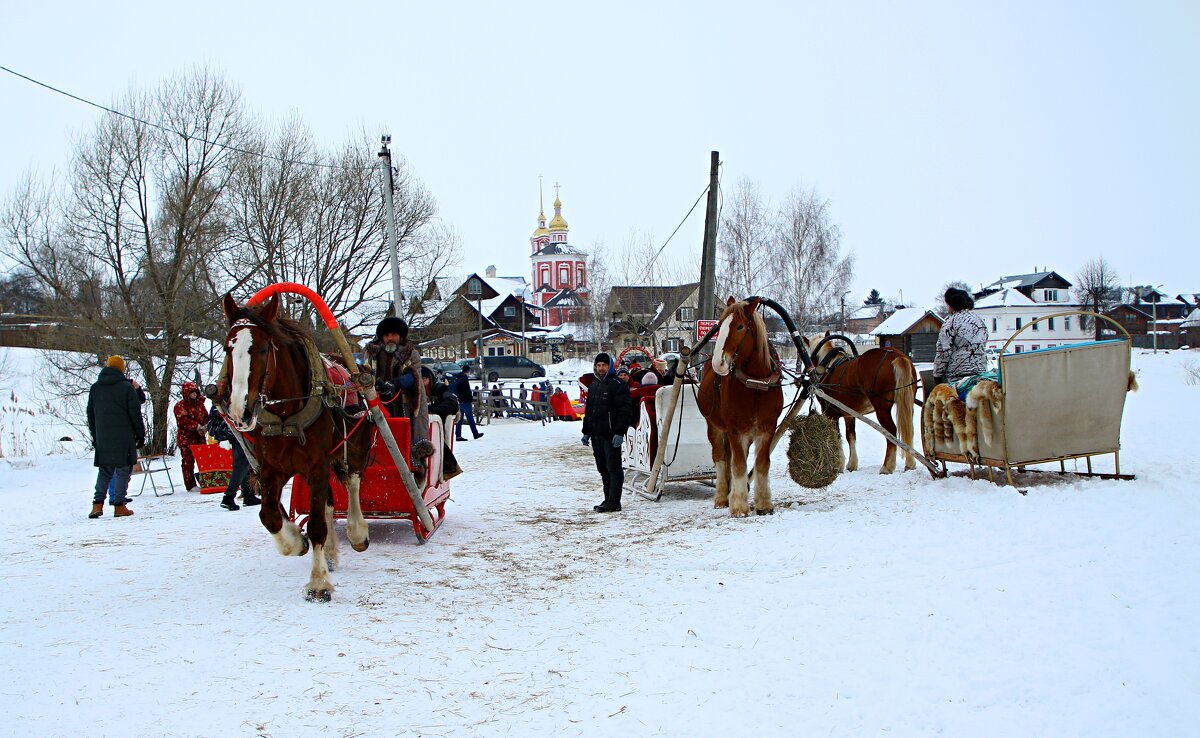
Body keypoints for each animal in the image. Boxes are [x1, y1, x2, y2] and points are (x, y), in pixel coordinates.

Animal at [222, 291, 374, 602]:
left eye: (263, 349)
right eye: (227, 348)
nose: (239, 411)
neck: (286, 416)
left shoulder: (316, 466)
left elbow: (316, 525)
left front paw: (318, 583)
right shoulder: (272, 469)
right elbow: (270, 517)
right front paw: (297, 541)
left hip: (354, 448)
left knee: (352, 483)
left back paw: (357, 533)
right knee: (328, 503)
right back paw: (329, 554)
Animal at [696, 297, 787, 516]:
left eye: (739, 326)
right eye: (719, 325)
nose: (718, 363)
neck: (756, 385)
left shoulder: (767, 427)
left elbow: (761, 464)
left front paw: (764, 503)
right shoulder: (734, 429)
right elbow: (737, 465)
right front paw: (738, 505)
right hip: (715, 427)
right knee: (721, 458)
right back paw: (722, 496)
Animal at [806, 333, 916, 472]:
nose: (811, 374)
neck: (828, 366)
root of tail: (896, 355)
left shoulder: (830, 412)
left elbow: (836, 436)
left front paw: (838, 463)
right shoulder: (849, 414)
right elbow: (850, 436)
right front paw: (851, 464)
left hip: (882, 409)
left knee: (891, 431)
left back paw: (887, 466)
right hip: (908, 403)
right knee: (908, 428)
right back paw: (910, 463)